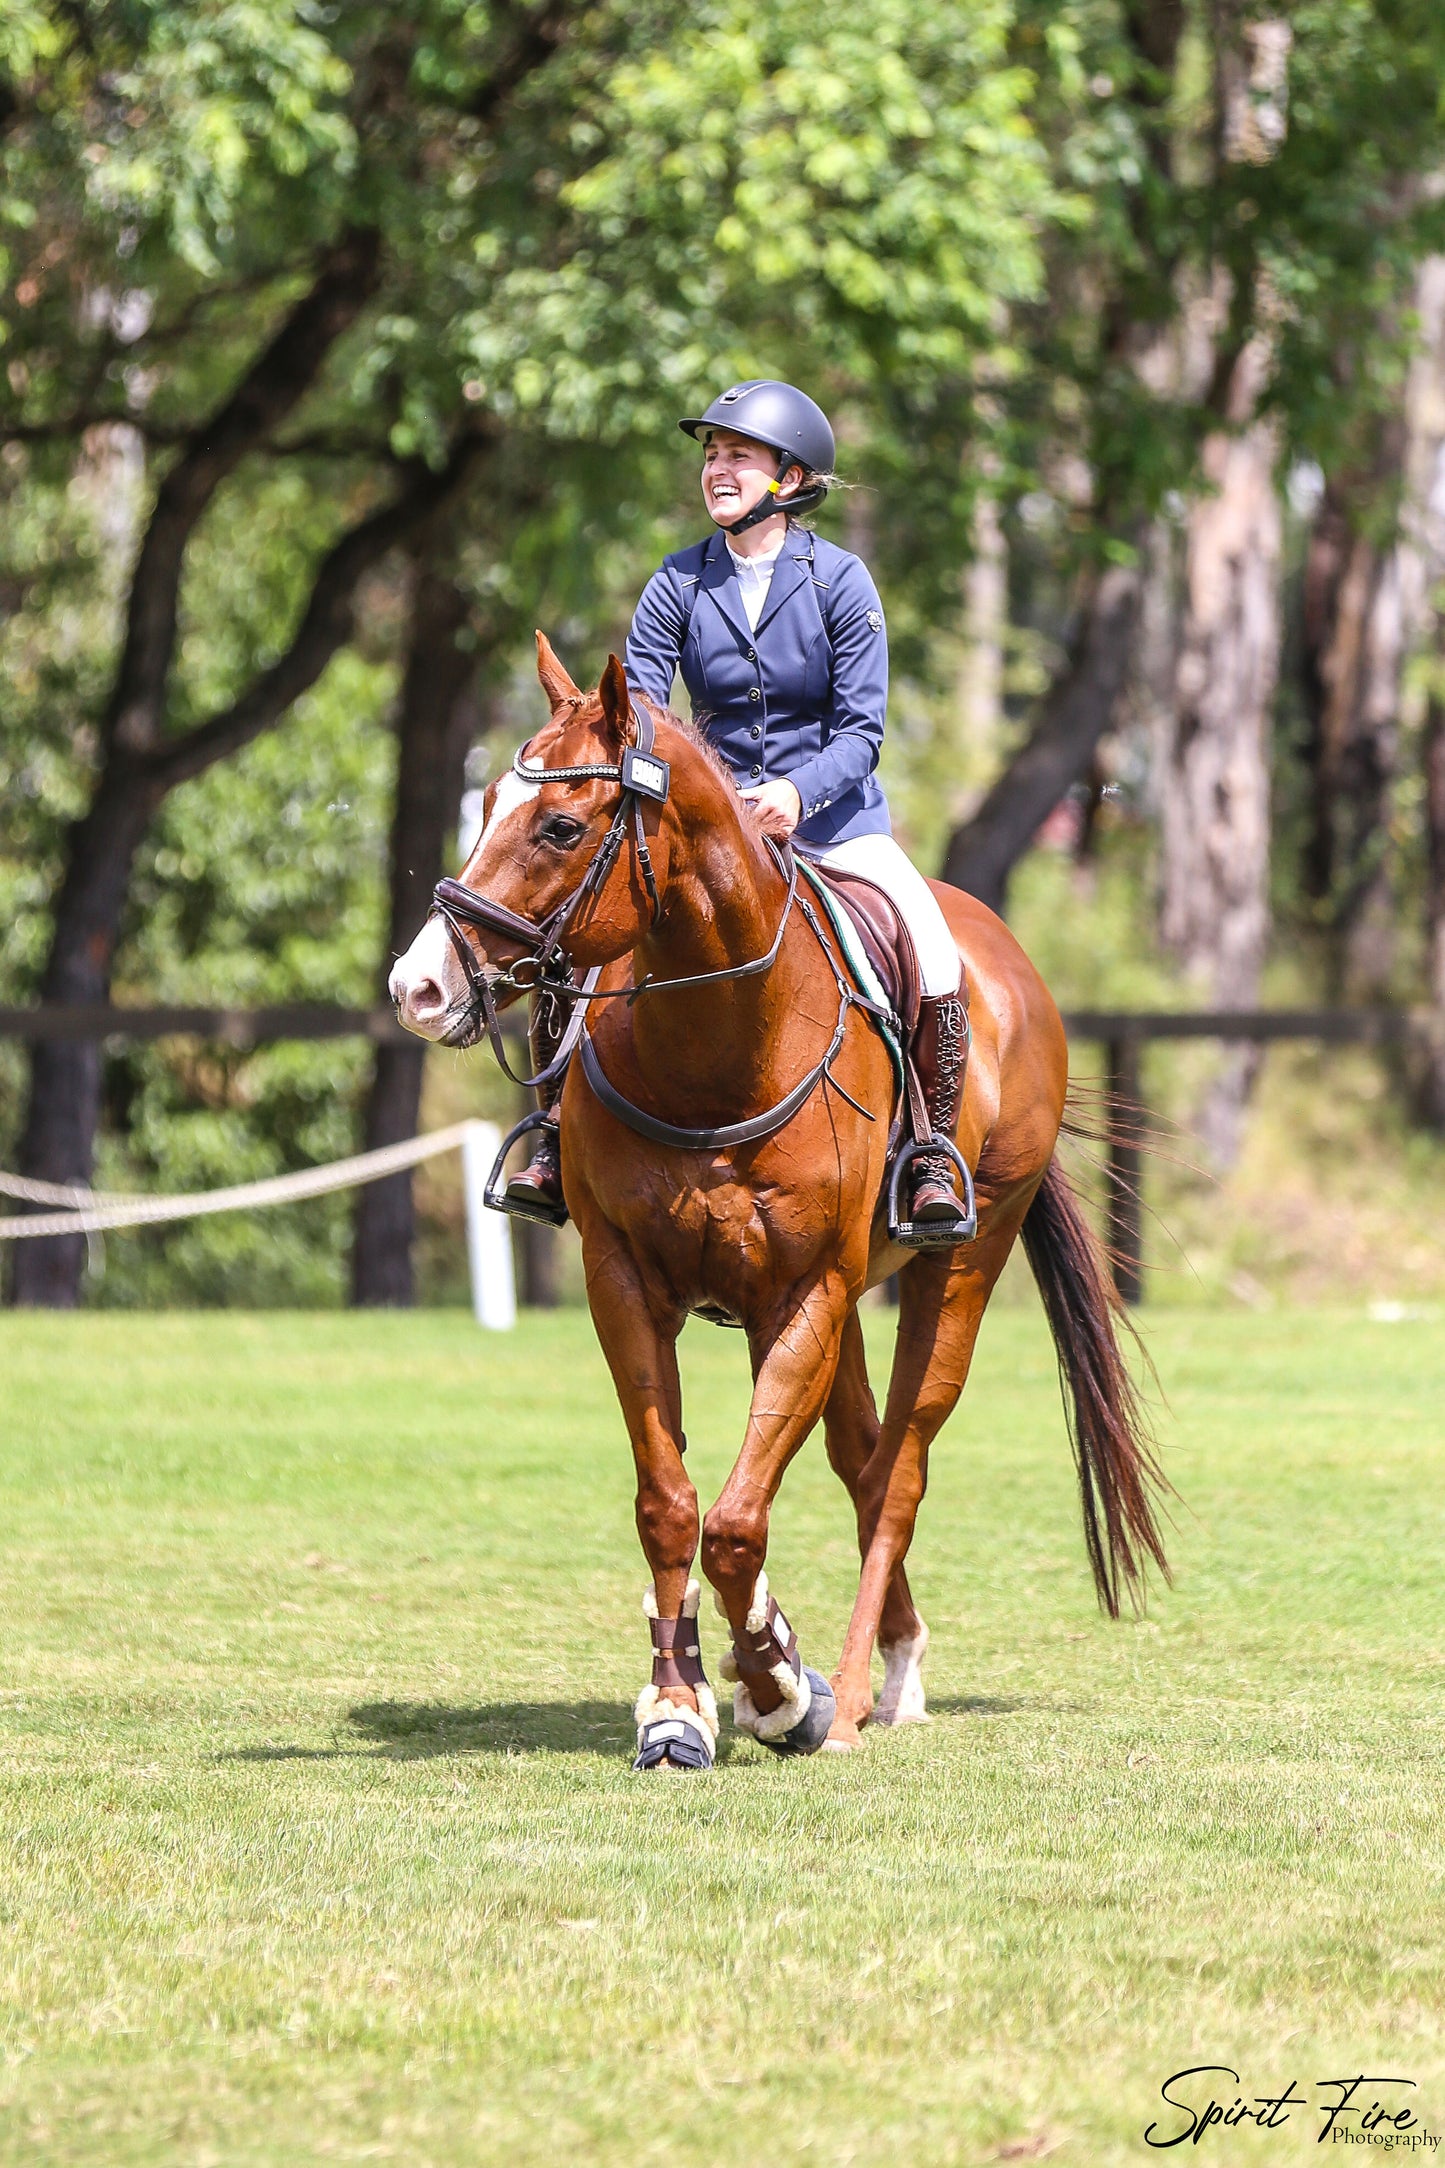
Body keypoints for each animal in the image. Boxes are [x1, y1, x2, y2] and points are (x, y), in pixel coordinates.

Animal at [389, 633, 1169, 1769]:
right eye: (485, 799)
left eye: (561, 826)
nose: (418, 988)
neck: (714, 1040)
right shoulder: (627, 1282)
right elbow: (673, 1505)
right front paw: (679, 1703)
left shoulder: (803, 1293)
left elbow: (737, 1522)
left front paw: (774, 1679)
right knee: (858, 1456)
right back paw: (877, 1660)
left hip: (952, 1268)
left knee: (898, 1467)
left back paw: (859, 1695)